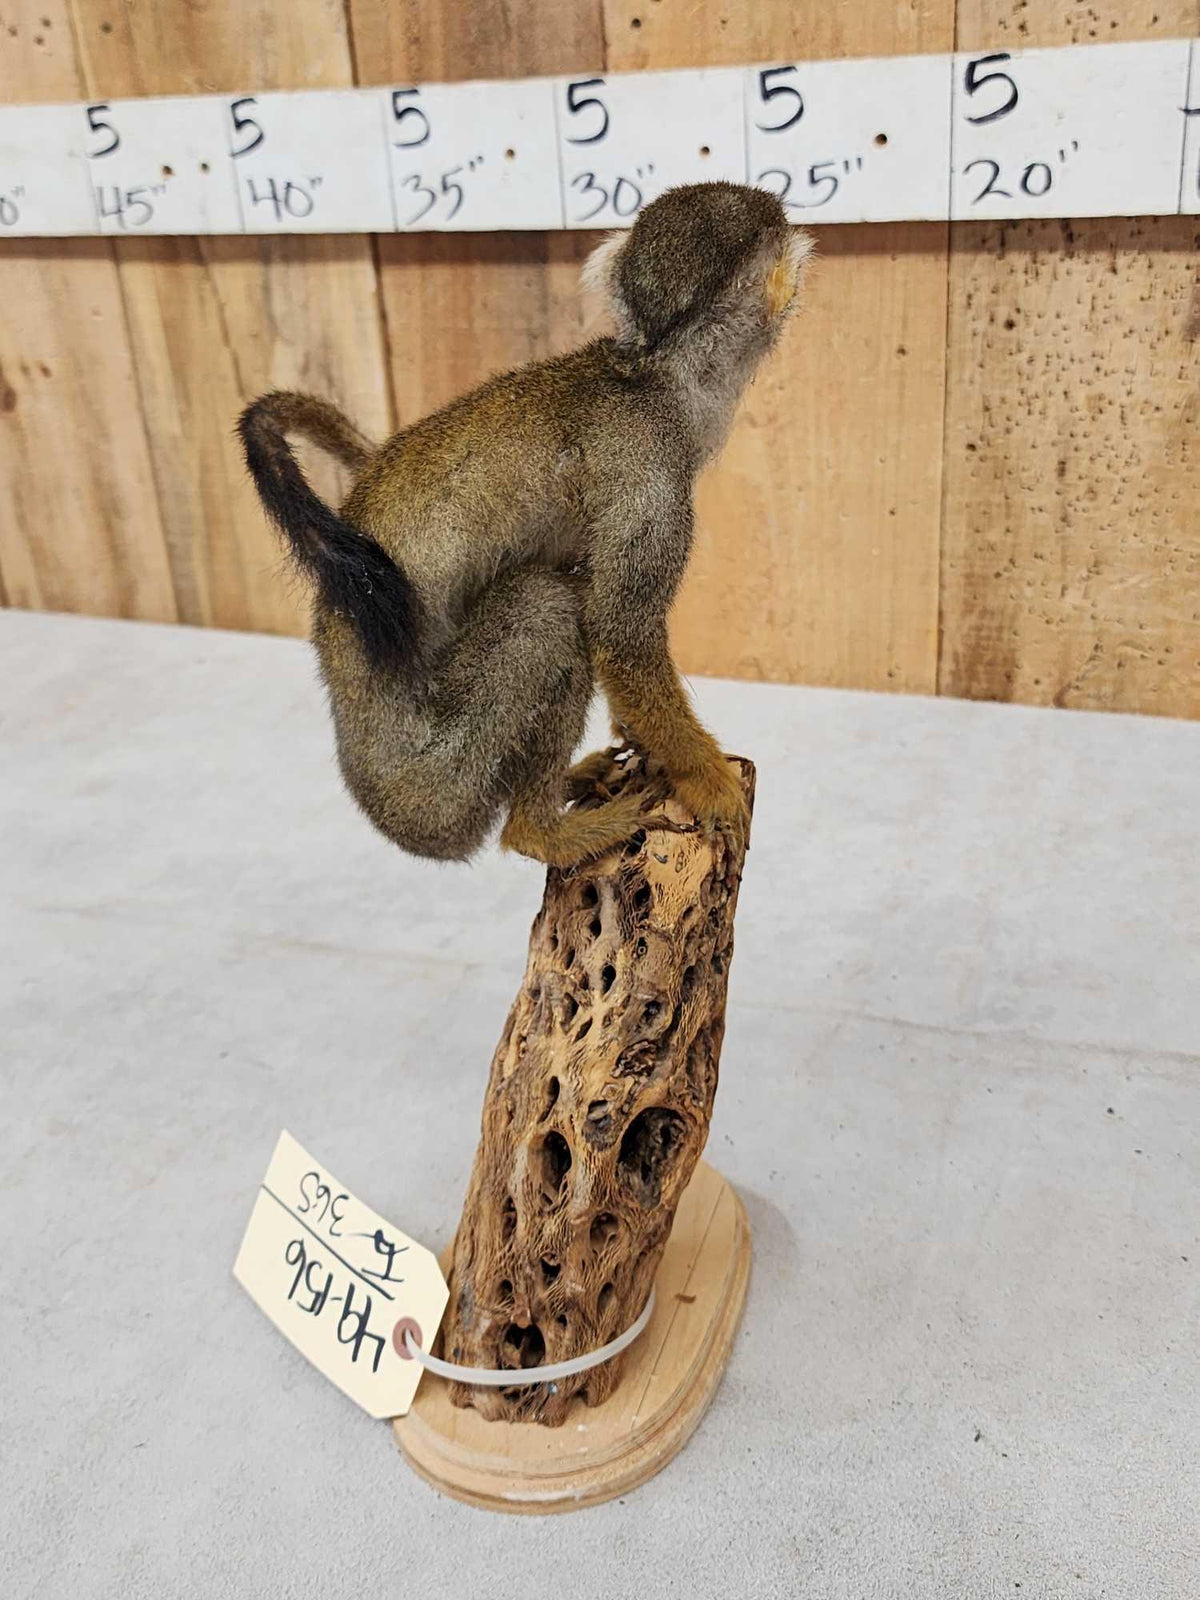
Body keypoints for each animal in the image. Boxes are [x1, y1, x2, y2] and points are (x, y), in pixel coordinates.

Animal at [239, 181, 812, 868]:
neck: (653, 375)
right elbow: (619, 636)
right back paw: (540, 830)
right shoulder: (652, 467)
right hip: (444, 778)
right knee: (545, 607)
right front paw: (710, 782)